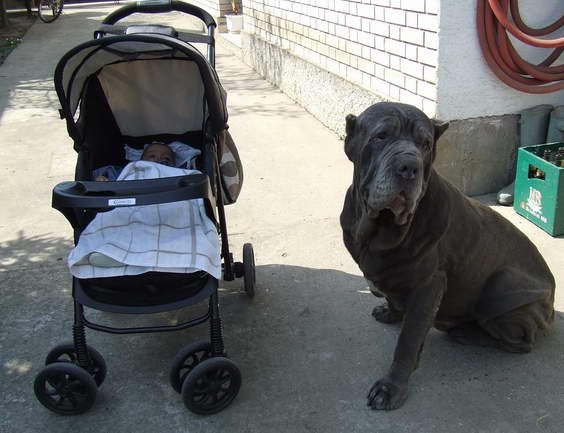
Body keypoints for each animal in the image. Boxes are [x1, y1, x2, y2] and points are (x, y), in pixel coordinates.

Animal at [340, 101, 556, 408]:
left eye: (425, 144)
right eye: (381, 136)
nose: (410, 166)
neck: (380, 226)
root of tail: (552, 303)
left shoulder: (428, 286)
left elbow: (408, 341)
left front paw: (392, 387)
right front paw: (392, 311)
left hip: (502, 285)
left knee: (521, 342)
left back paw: (466, 332)